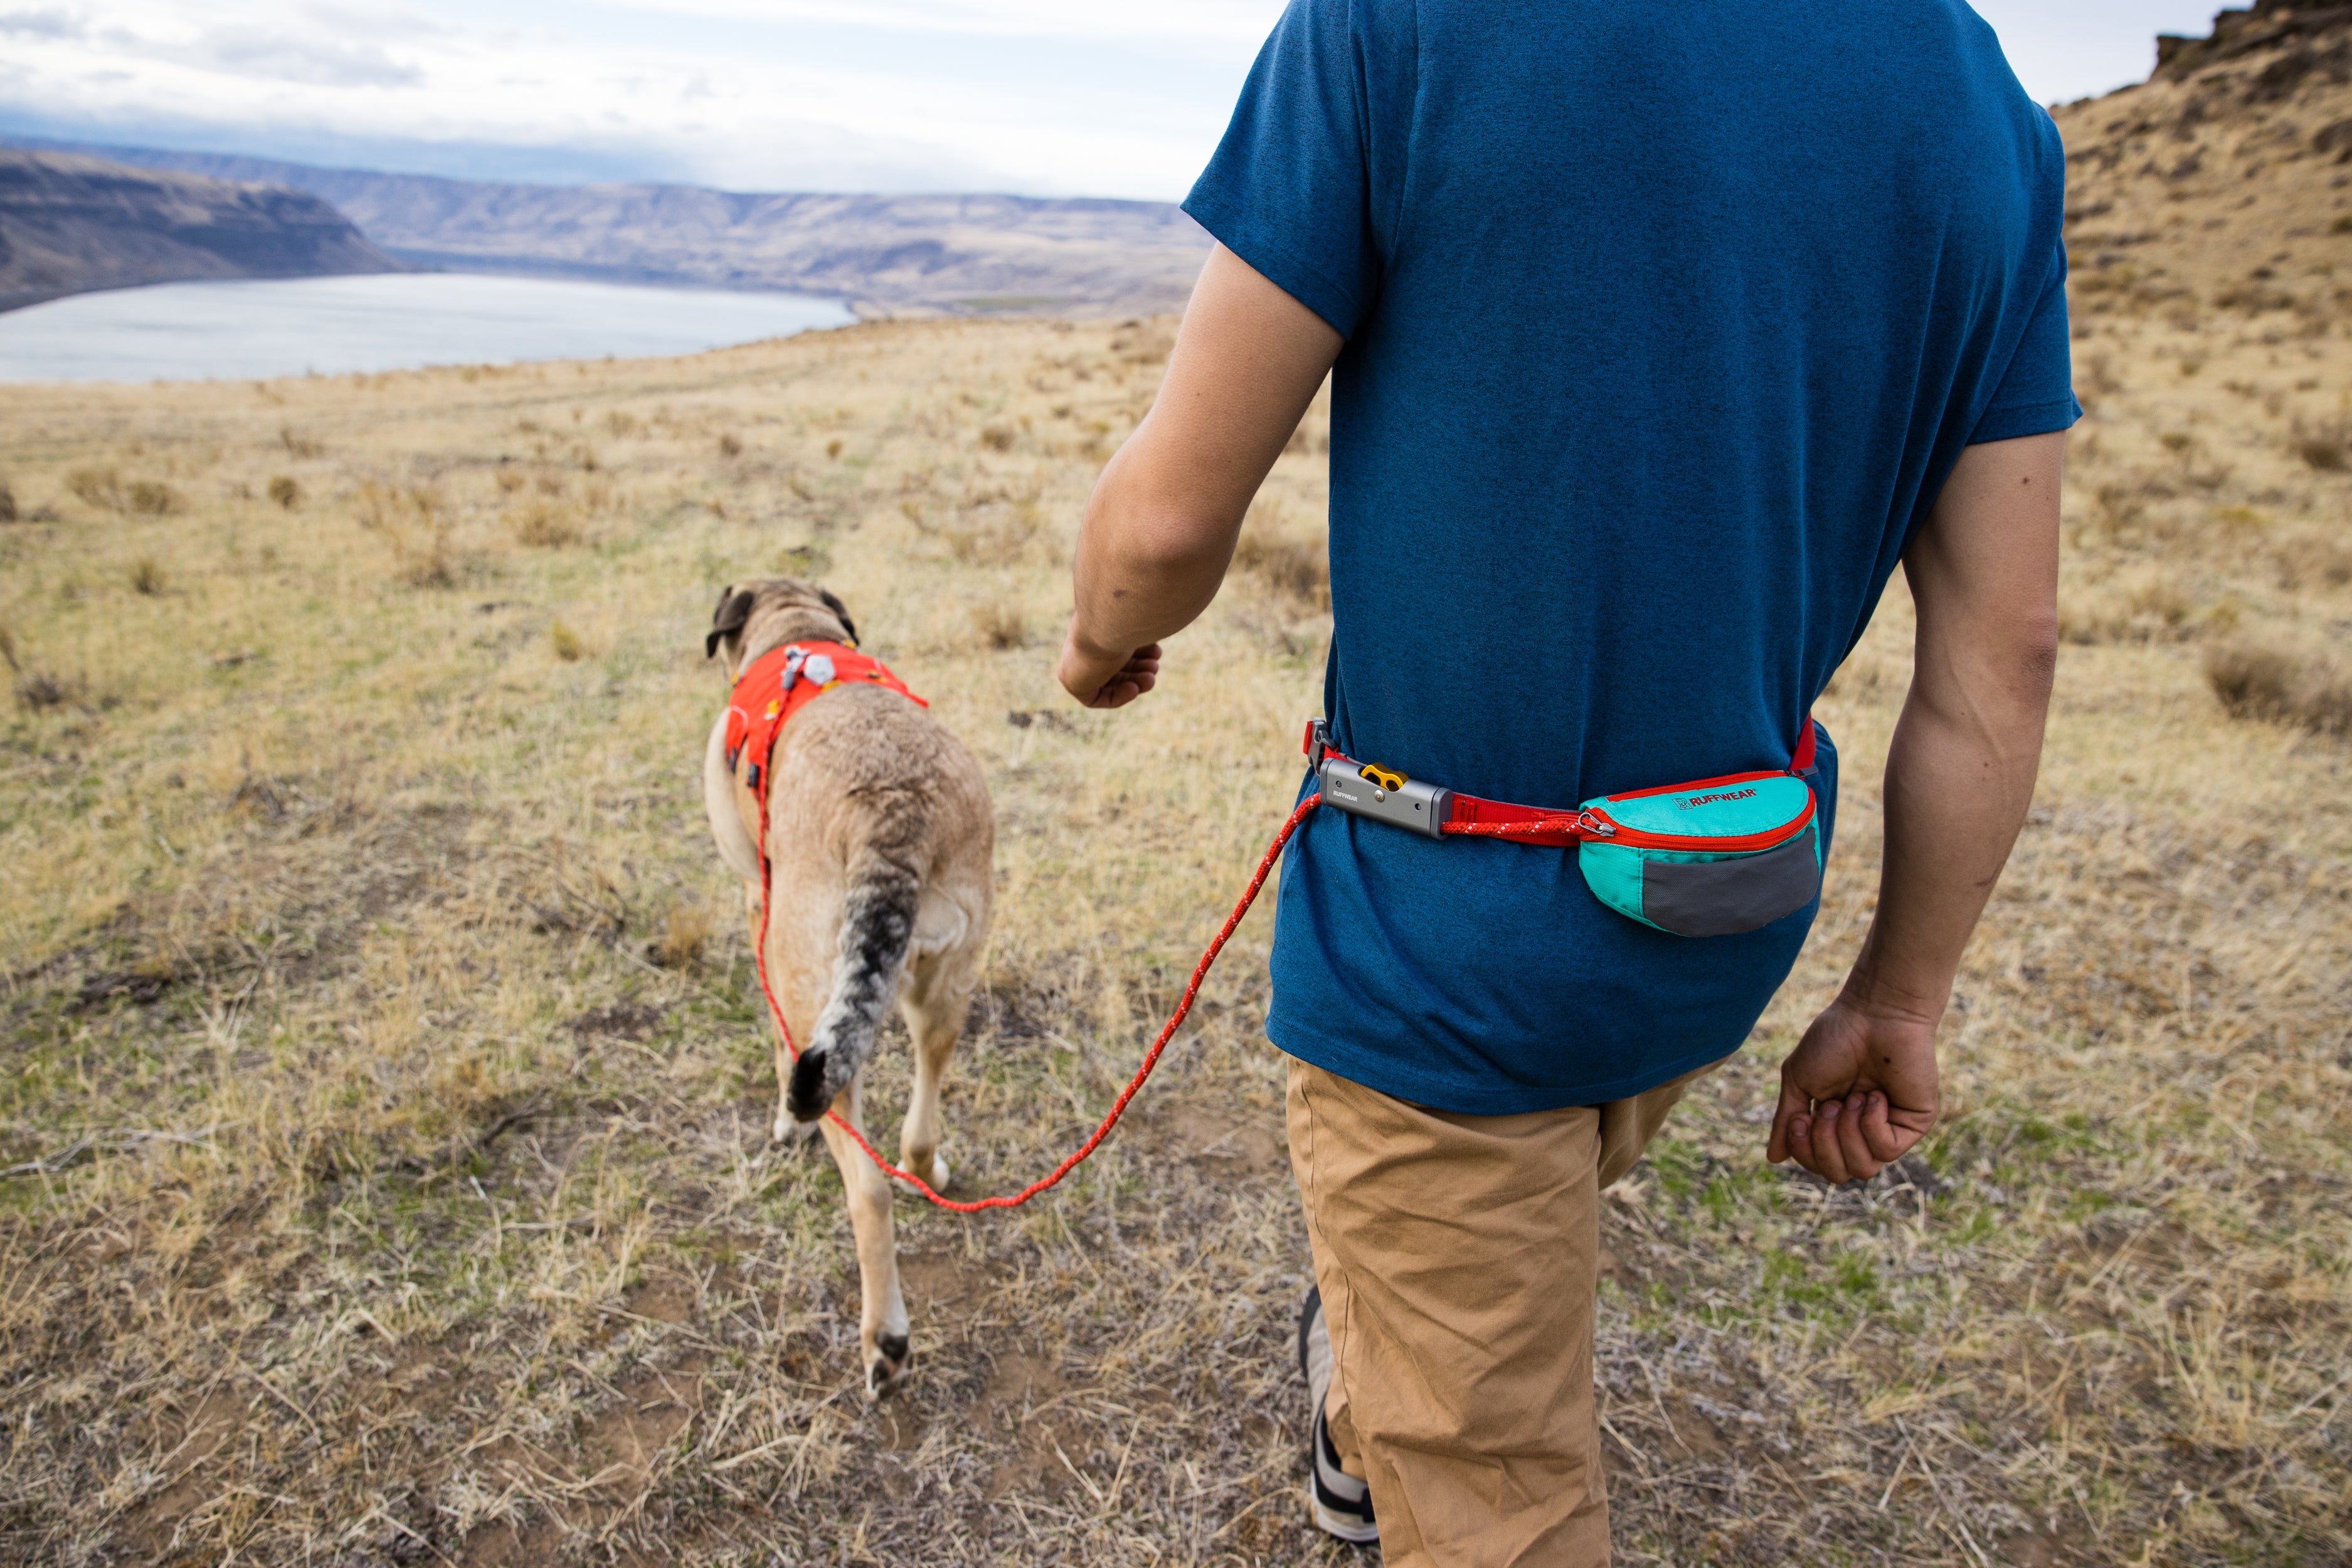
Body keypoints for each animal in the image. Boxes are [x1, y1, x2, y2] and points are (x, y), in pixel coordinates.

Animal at [696, 583, 992, 1391]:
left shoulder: (756, 900)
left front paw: (781, 1125)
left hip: (818, 1014)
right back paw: (928, 1169)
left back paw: (885, 1341)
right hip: (945, 982)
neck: (795, 630)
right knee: (922, 1106)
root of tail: (893, 814)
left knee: (866, 1187)